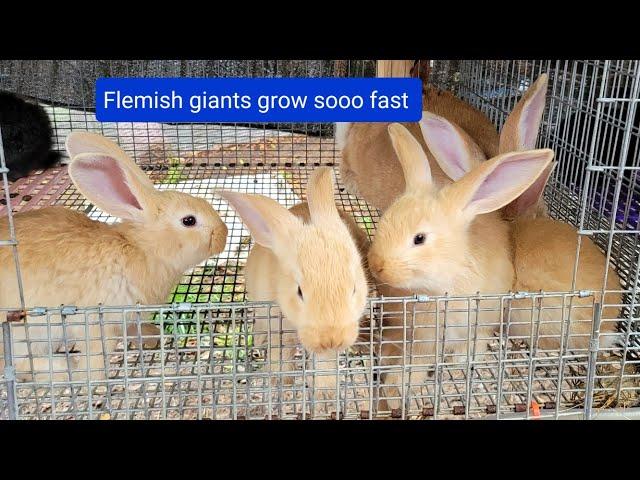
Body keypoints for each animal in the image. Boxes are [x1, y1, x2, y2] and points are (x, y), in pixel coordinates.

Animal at [0, 131, 230, 382]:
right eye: (189, 220)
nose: (224, 234)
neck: (141, 249)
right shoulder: (97, 320)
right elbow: (97, 357)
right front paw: (87, 376)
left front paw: (153, 336)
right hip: (25, 333)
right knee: (19, 364)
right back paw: (62, 366)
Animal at [220, 168, 370, 398]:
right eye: (299, 291)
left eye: (354, 288)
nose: (332, 339)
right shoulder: (276, 327)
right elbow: (280, 353)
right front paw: (281, 381)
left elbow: (324, 362)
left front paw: (325, 393)